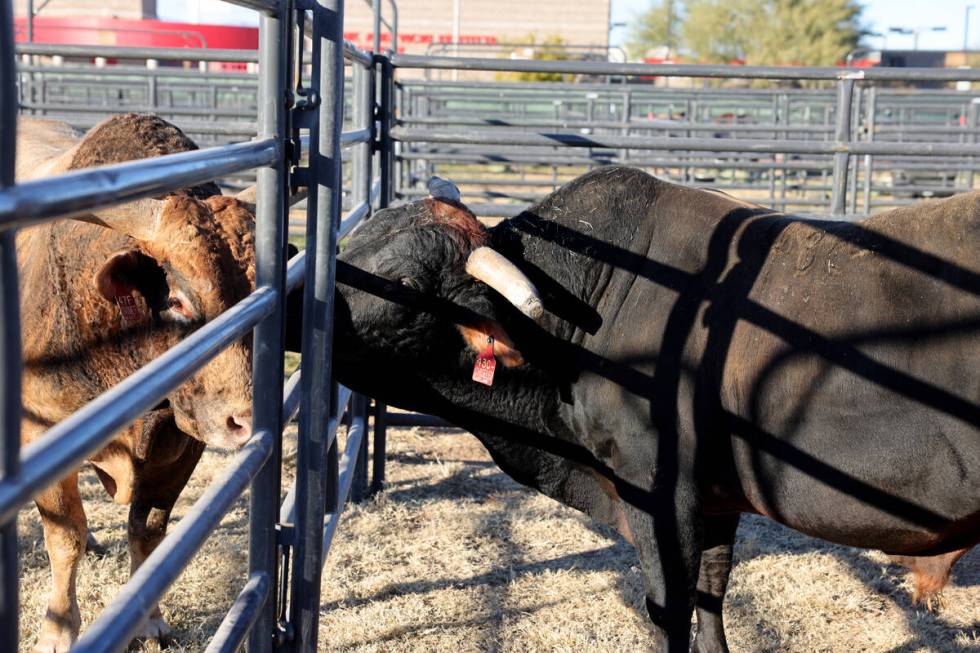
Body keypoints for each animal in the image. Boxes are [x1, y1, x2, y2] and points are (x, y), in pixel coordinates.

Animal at [16, 113, 260, 652]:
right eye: (179, 300)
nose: (244, 422)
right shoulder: (41, 435)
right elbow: (64, 537)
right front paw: (59, 629)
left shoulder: (183, 443)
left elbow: (148, 528)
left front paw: (148, 619)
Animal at [290, 167, 980, 648]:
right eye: (358, 236)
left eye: (404, 283)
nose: (301, 297)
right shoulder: (714, 501)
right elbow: (709, 601)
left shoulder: (657, 493)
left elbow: (668, 611)